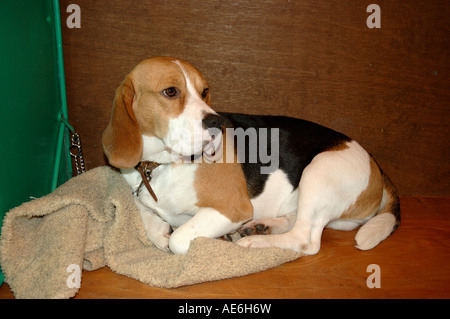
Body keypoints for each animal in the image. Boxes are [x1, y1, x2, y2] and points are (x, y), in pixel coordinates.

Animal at [103, 57, 400, 256]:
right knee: (296, 221)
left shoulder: (234, 208)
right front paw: (159, 228)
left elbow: (179, 239)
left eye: (204, 91)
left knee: (306, 239)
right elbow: (146, 214)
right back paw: (263, 227)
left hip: (320, 168)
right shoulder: (138, 193)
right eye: (171, 91)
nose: (217, 123)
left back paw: (255, 242)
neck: (163, 165)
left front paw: (211, 239)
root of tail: (375, 164)